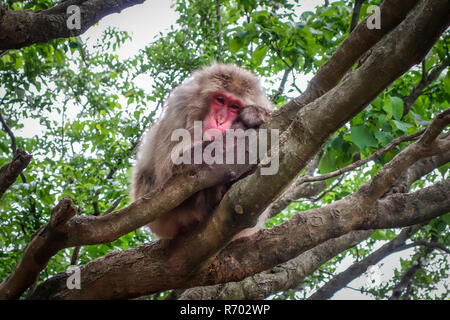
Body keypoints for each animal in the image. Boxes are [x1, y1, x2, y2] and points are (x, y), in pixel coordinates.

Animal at [132, 62, 272, 239]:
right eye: (220, 99)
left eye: (234, 106)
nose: (220, 121)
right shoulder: (180, 106)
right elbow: (172, 168)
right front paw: (239, 128)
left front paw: (255, 114)